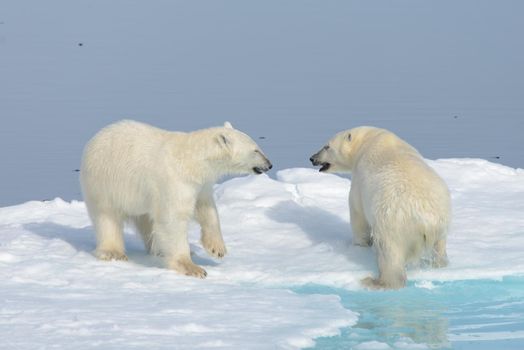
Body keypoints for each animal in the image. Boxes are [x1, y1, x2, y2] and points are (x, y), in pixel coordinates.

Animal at [81, 120, 274, 278]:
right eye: (256, 150)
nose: (269, 164)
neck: (192, 161)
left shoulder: (199, 184)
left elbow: (206, 209)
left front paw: (217, 248)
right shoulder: (175, 182)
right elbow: (173, 219)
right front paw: (193, 268)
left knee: (148, 219)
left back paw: (159, 249)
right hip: (104, 183)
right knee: (107, 217)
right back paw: (113, 252)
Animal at [312, 126, 450, 290]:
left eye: (327, 146)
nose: (312, 158)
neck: (366, 140)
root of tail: (426, 219)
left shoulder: (359, 180)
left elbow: (358, 214)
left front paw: (360, 244)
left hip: (393, 223)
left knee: (389, 253)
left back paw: (376, 281)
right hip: (441, 221)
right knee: (440, 247)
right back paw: (440, 264)